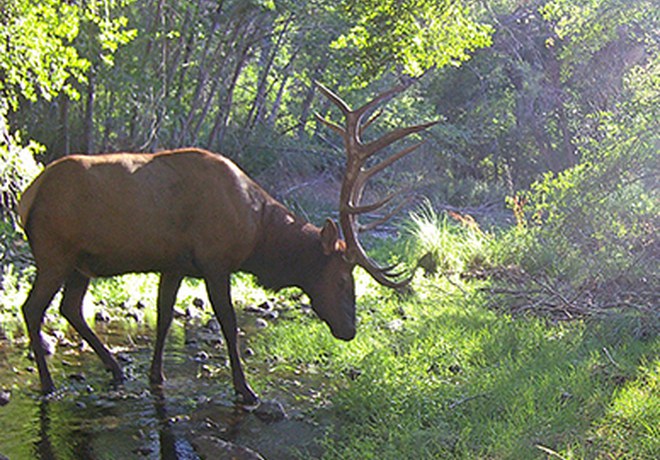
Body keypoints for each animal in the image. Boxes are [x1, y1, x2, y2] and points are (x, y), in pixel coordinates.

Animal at [17, 82, 435, 405]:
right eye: (342, 279)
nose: (349, 330)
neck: (257, 235)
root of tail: (28, 196)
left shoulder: (175, 264)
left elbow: (165, 317)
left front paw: (156, 375)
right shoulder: (215, 261)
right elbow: (229, 324)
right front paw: (246, 390)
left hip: (80, 262)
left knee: (70, 308)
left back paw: (117, 370)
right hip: (54, 252)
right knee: (32, 308)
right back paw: (49, 384)